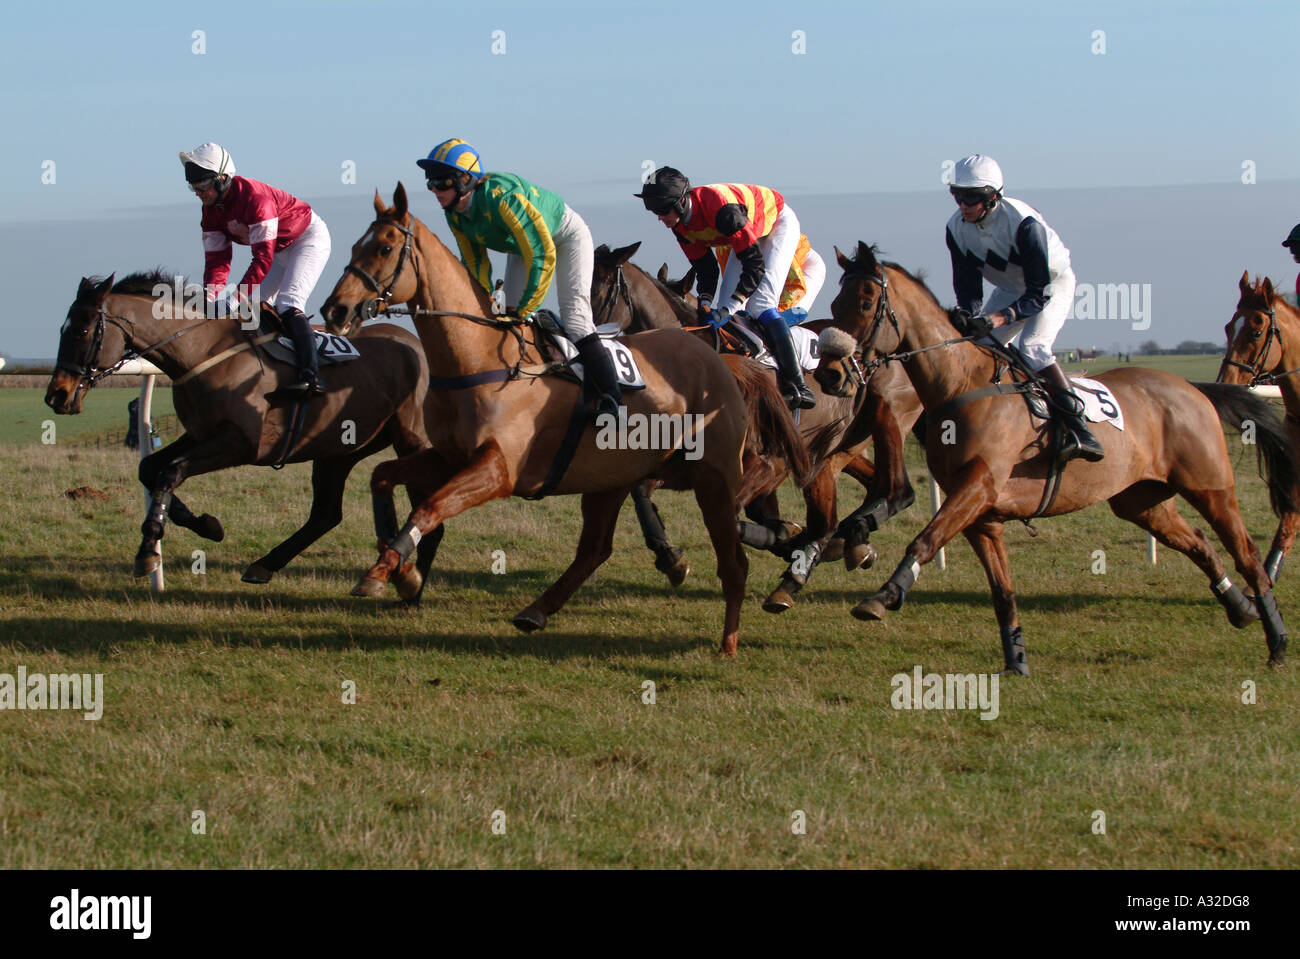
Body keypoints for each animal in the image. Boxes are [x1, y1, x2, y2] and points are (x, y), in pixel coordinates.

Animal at [44, 265, 436, 587]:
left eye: (81, 330)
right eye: (62, 329)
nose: (56, 395)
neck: (202, 352)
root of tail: (416, 343)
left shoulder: (242, 443)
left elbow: (171, 472)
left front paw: (150, 548)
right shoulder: (200, 434)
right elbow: (150, 468)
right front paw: (202, 524)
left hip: (409, 437)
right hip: (339, 449)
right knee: (326, 514)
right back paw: (266, 564)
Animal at [318, 183, 806, 654]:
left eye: (384, 248)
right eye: (356, 246)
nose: (334, 310)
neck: (479, 357)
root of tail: (721, 359)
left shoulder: (498, 470)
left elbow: (429, 505)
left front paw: (388, 571)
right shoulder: (450, 456)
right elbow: (382, 476)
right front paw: (399, 570)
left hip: (714, 478)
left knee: (733, 559)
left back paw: (729, 640)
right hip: (612, 476)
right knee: (595, 548)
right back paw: (536, 610)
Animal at [592, 242, 925, 608]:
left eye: (601, 289)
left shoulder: (768, 464)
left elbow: (740, 516)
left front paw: (791, 540)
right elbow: (642, 492)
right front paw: (671, 558)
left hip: (871, 426)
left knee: (890, 492)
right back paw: (848, 545)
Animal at [811, 242, 1289, 670]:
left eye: (866, 302)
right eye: (834, 302)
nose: (830, 374)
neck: (962, 385)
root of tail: (1193, 388)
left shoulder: (978, 488)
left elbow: (924, 540)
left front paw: (884, 595)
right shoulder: (981, 515)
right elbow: (1001, 591)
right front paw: (1016, 659)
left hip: (1210, 487)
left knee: (1247, 554)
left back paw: (1277, 639)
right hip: (1142, 502)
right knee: (1200, 544)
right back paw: (1241, 608)